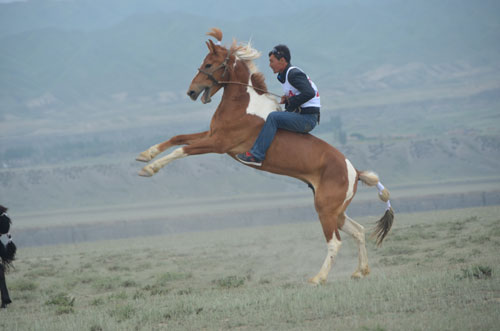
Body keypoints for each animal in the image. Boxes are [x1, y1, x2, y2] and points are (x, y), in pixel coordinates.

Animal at [137, 27, 394, 286]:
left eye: (209, 64)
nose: (191, 92)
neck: (242, 106)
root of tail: (354, 171)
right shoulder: (211, 135)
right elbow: (178, 138)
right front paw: (145, 155)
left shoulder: (219, 143)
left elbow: (181, 150)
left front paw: (149, 169)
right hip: (337, 211)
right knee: (359, 231)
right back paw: (360, 271)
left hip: (325, 209)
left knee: (335, 242)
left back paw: (318, 278)